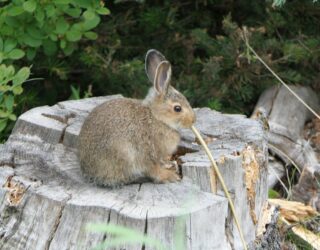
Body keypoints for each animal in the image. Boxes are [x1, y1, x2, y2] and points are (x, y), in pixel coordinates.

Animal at [79, 48, 196, 187]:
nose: (193, 120)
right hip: (124, 155)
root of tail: (87, 170)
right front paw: (169, 175)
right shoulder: (148, 154)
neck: (156, 117)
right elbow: (153, 169)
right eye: (177, 108)